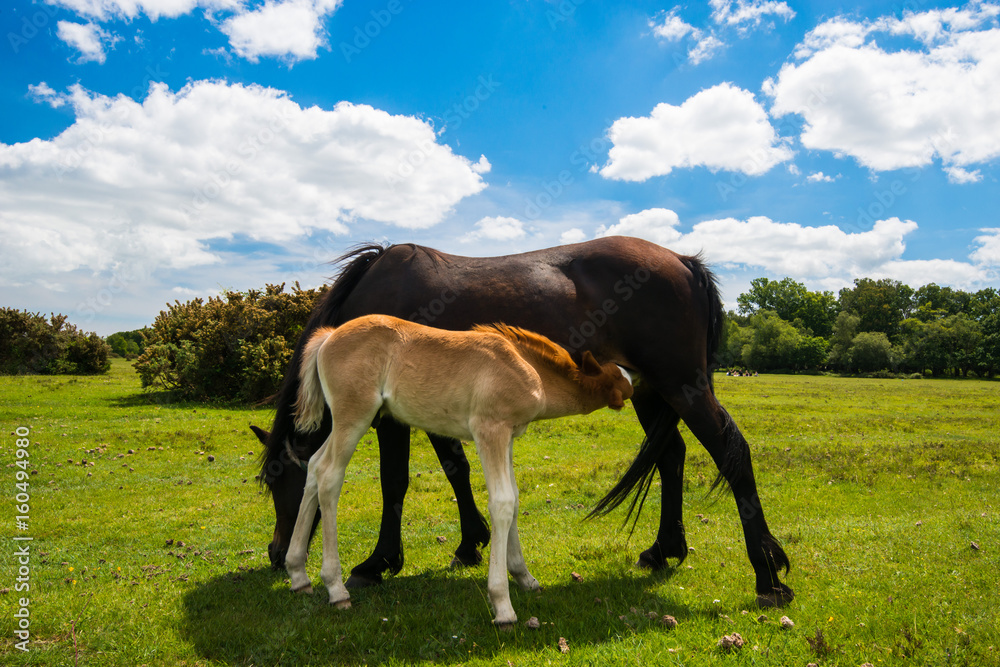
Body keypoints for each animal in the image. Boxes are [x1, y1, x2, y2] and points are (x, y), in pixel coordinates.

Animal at [285, 314, 635, 625]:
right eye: (622, 381)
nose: (639, 380)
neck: (529, 369)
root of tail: (329, 336)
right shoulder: (489, 429)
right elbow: (502, 503)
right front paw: (503, 605)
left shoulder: (508, 435)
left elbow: (514, 498)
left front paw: (525, 577)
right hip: (354, 415)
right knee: (329, 475)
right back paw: (335, 588)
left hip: (344, 422)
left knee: (313, 466)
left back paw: (298, 574)